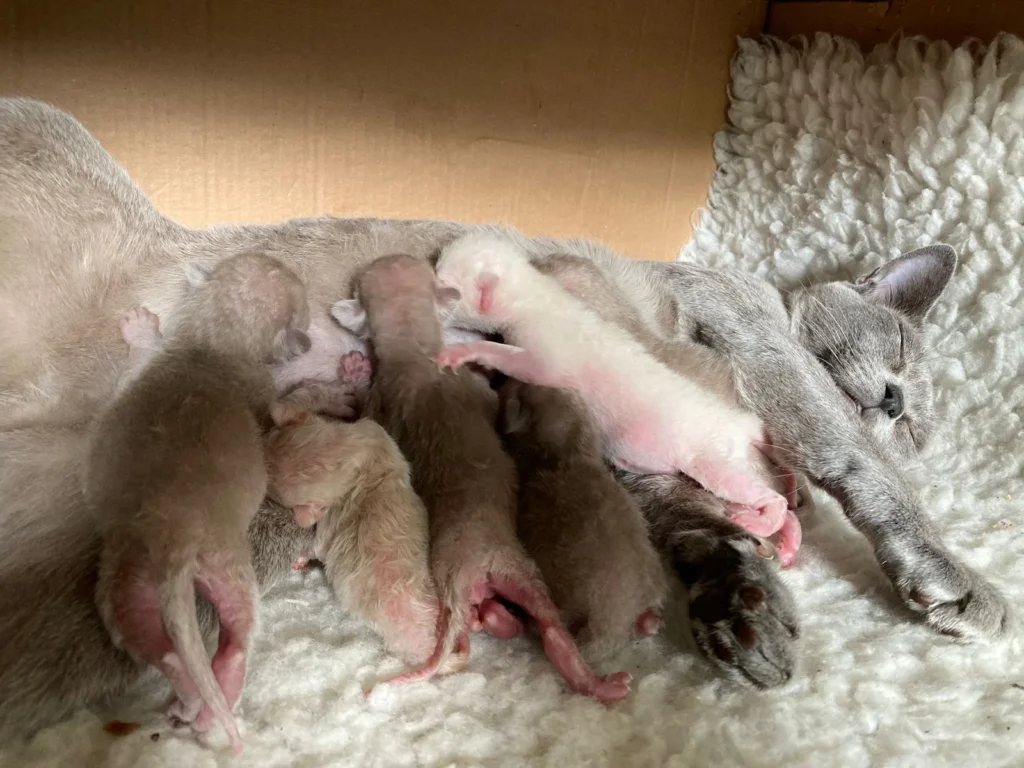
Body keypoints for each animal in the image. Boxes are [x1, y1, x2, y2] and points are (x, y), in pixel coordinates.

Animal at [0, 97, 1007, 741]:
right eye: (902, 369)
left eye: (918, 416)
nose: (899, 409)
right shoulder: (749, 333)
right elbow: (843, 452)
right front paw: (953, 577)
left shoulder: (633, 455)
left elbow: (689, 524)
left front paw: (746, 614)